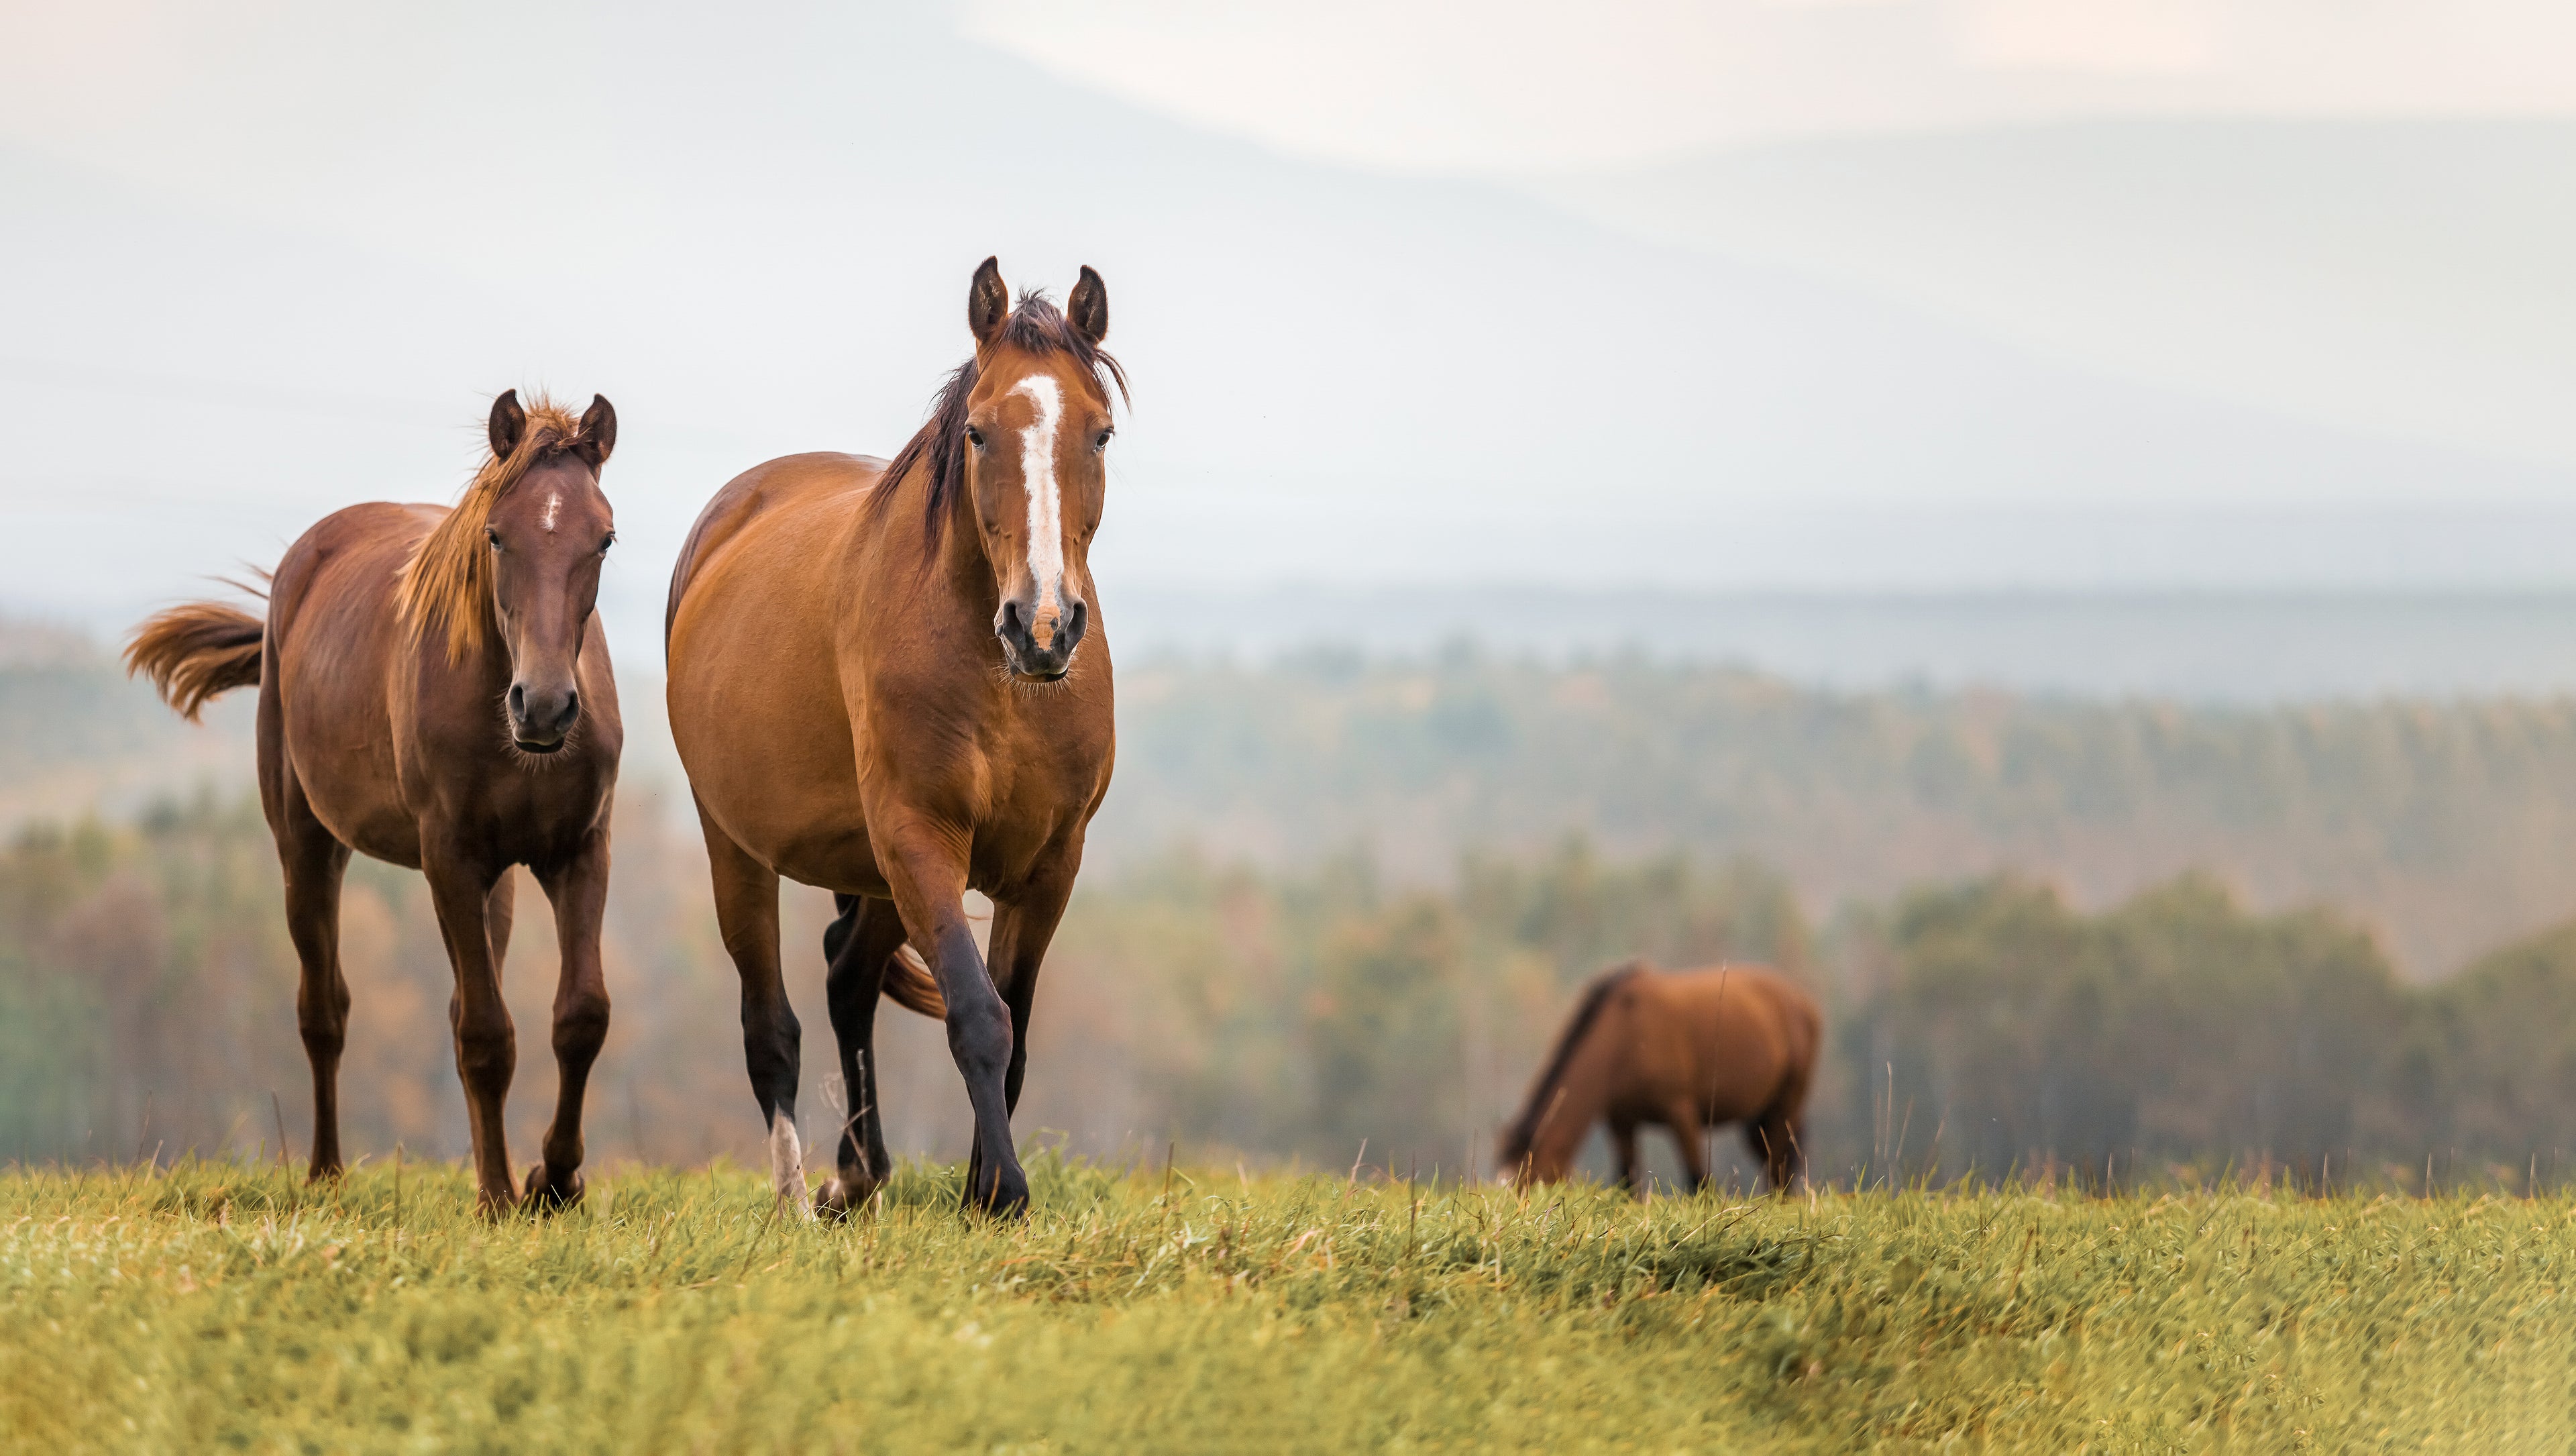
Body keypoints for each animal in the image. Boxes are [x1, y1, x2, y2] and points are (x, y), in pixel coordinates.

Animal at [131, 388, 628, 1216]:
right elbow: (486, 1036)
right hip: (307, 846)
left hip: (496, 881)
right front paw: (502, 1196)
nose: (545, 707)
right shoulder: (449, 859)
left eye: (605, 539)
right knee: (324, 1009)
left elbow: (579, 1017)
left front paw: (551, 1181)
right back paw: (326, 1173)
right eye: (497, 535)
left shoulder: (578, 851)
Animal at [669, 258, 1123, 1216]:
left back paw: (858, 1174)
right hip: (740, 846)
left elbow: (1015, 1022)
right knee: (770, 1023)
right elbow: (978, 1014)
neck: (1001, 681)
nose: (1044, 625)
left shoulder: (1050, 864)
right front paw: (1002, 1192)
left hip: (873, 869)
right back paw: (798, 1201)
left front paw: (982, 1187)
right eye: (980, 433)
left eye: (1100, 434)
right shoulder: (920, 837)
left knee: (846, 976)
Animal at [1504, 953, 1823, 1190]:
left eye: (1536, 1181)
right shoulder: (1621, 1121)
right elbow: (1628, 1183)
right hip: (1758, 1117)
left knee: (1779, 1166)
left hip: (1787, 1104)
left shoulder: (1682, 1113)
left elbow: (1699, 1181)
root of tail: (1802, 1001)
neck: (1625, 1035)